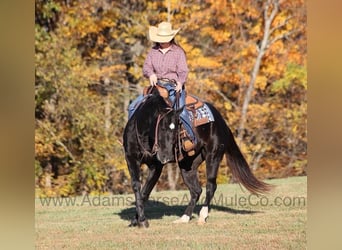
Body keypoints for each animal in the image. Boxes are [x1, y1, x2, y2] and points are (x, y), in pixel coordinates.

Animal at [123, 87, 272, 228]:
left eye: (176, 130)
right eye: (161, 128)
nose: (166, 157)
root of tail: (221, 120)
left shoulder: (156, 167)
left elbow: (145, 192)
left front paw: (141, 220)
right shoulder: (131, 159)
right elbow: (137, 187)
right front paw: (136, 220)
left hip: (213, 156)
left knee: (210, 186)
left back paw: (202, 216)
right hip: (187, 165)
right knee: (196, 190)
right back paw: (184, 218)